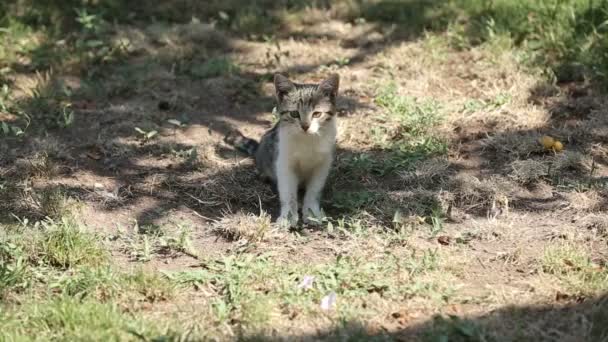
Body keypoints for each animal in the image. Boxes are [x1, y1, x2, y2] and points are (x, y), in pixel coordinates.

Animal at [224, 73, 340, 226]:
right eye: (294, 114)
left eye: (317, 114)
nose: (305, 126)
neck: (307, 140)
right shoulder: (283, 162)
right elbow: (288, 192)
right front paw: (288, 217)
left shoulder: (323, 164)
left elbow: (314, 191)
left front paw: (311, 213)